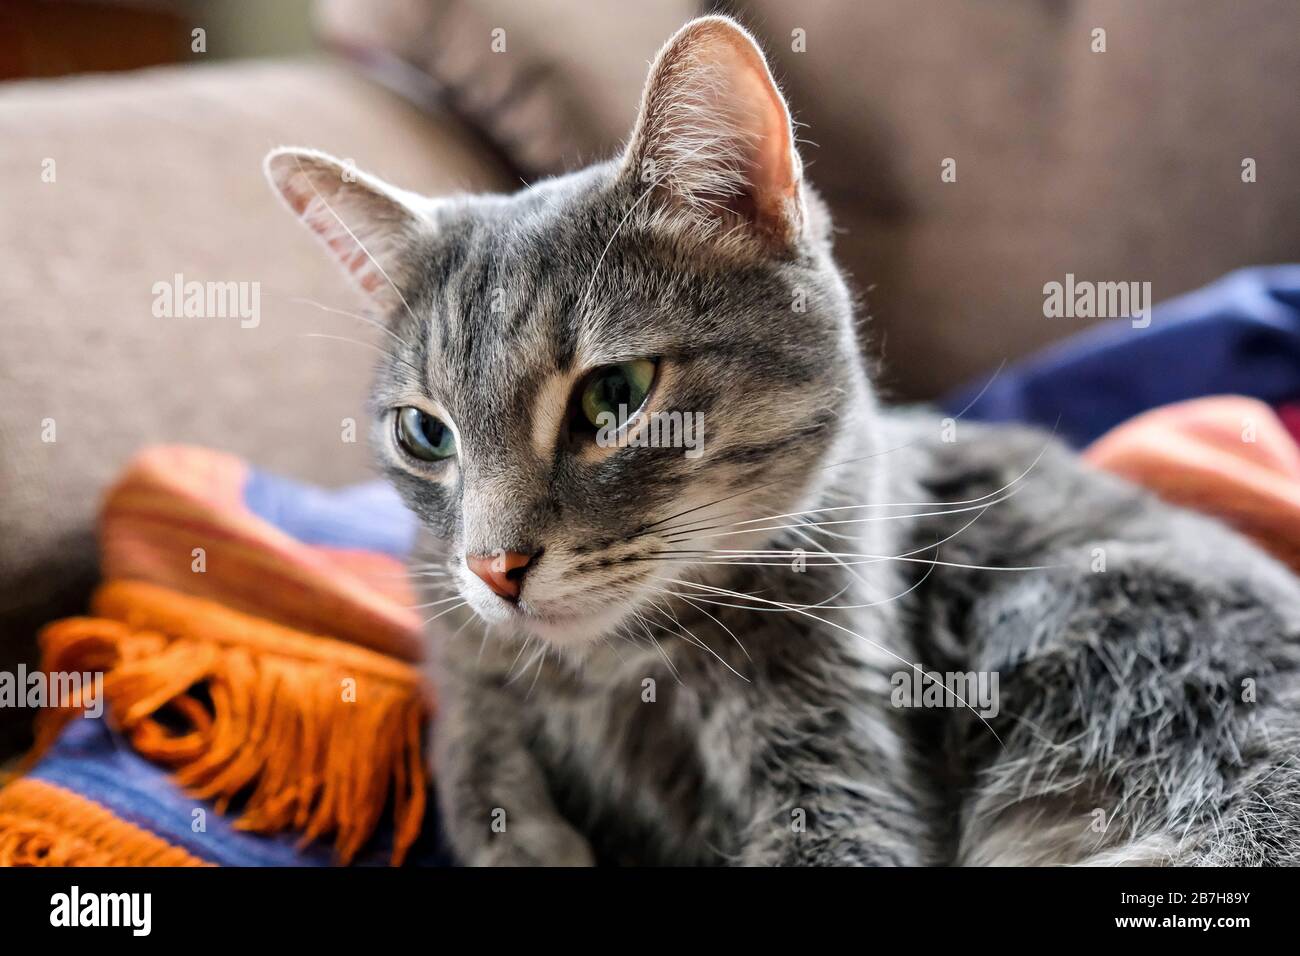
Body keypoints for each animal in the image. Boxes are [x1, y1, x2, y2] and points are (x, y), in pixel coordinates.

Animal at [263, 14, 1300, 868]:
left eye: (615, 395)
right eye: (425, 433)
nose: (493, 568)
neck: (612, 671)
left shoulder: (841, 762)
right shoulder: (466, 676)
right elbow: (480, 778)